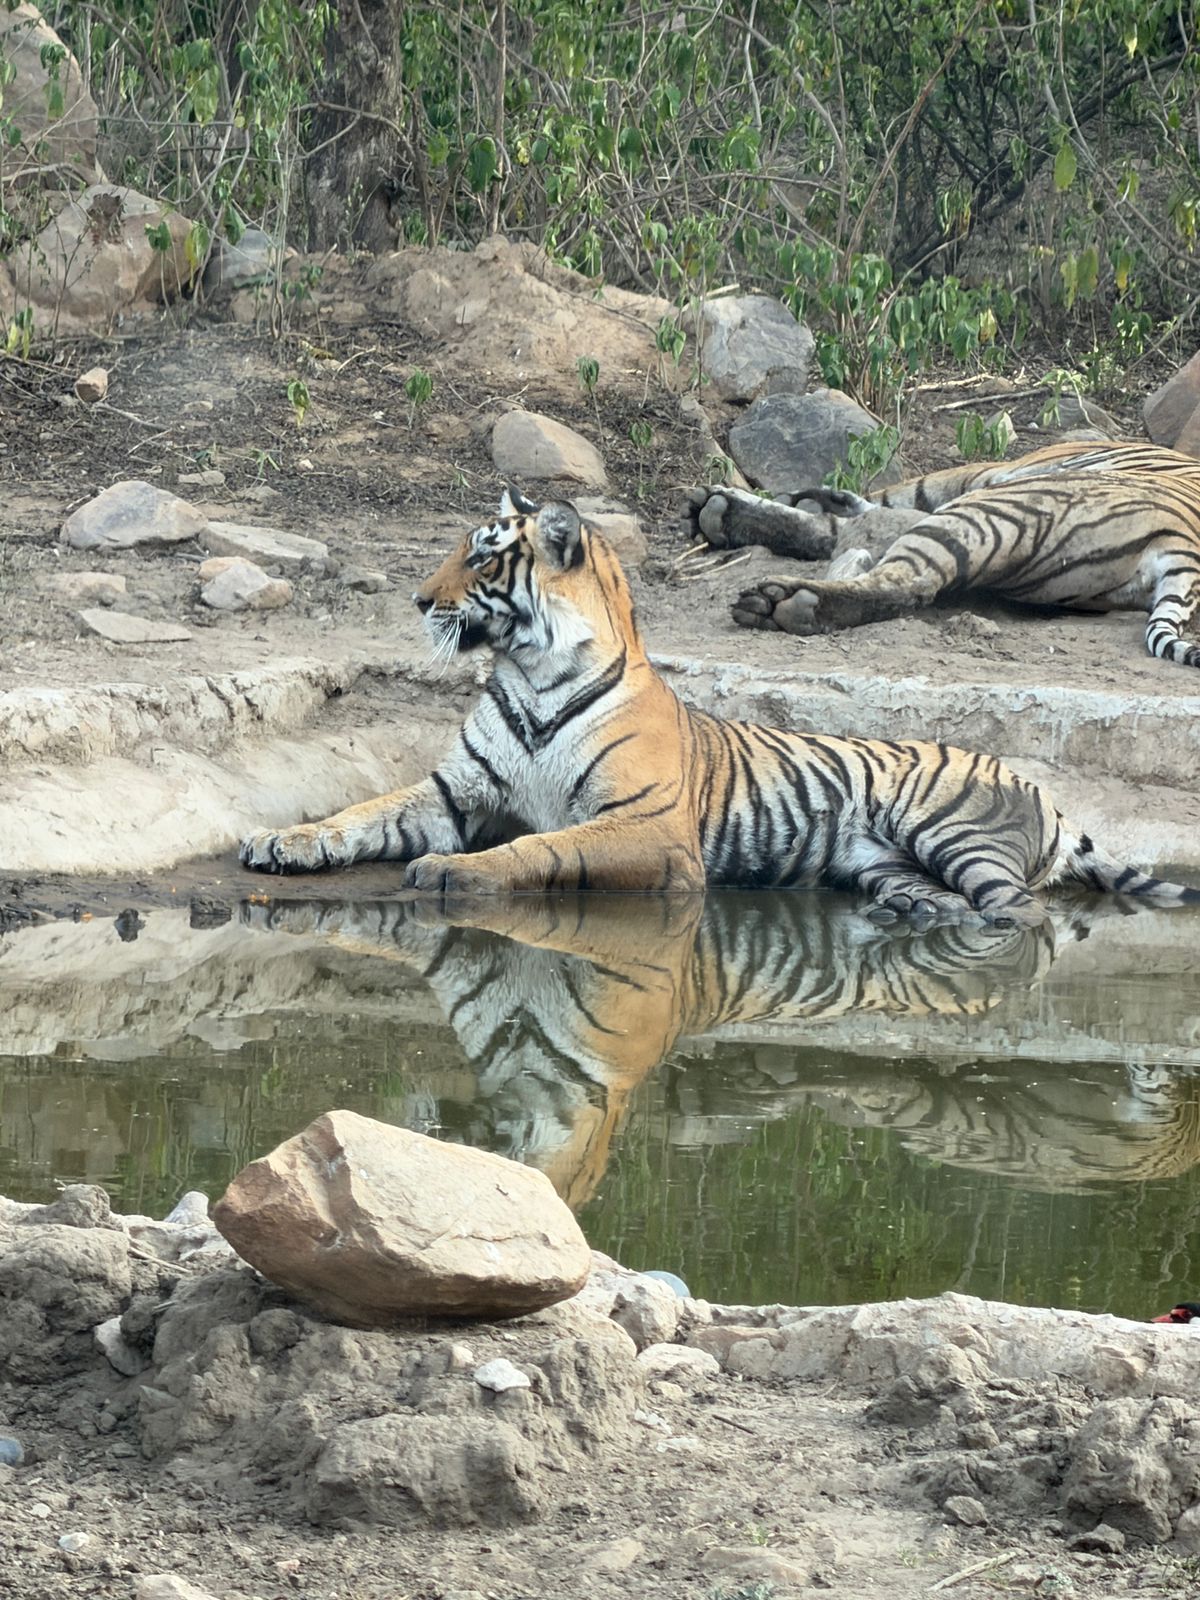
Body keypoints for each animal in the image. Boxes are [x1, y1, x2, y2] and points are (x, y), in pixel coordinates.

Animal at [238, 488, 1200, 927]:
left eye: (480, 557)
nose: (414, 600)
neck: (532, 673)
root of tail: (1048, 794)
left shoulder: (649, 829)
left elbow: (543, 847)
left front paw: (454, 873)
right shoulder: (451, 793)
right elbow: (359, 813)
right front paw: (280, 841)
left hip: (951, 828)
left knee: (1022, 916)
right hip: (885, 862)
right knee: (956, 905)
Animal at [683, 440, 1200, 667]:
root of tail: (1184, 547)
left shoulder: (968, 476)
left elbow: (882, 502)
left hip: (998, 504)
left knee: (902, 573)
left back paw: (781, 598)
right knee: (904, 578)